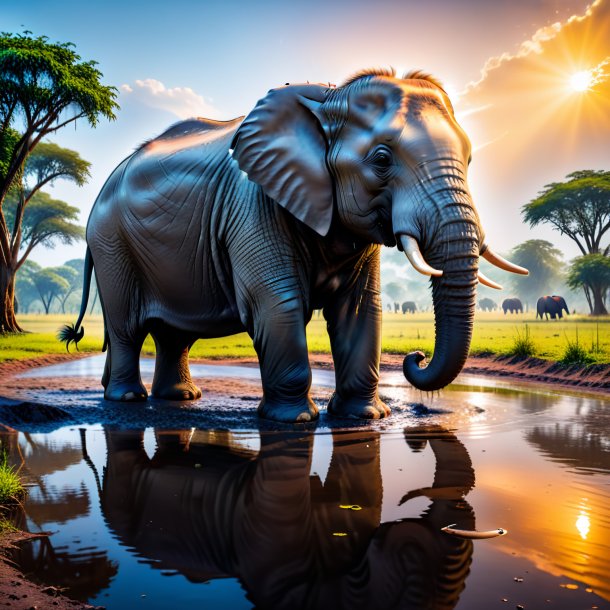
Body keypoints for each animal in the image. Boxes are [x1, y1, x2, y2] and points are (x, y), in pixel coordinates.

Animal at [64, 66, 524, 418]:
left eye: (469, 160)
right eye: (381, 160)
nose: (416, 357)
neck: (332, 97)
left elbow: (361, 309)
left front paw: (365, 417)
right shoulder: (253, 204)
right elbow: (276, 300)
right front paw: (296, 420)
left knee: (174, 334)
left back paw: (181, 398)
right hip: (111, 243)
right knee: (127, 325)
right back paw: (128, 398)